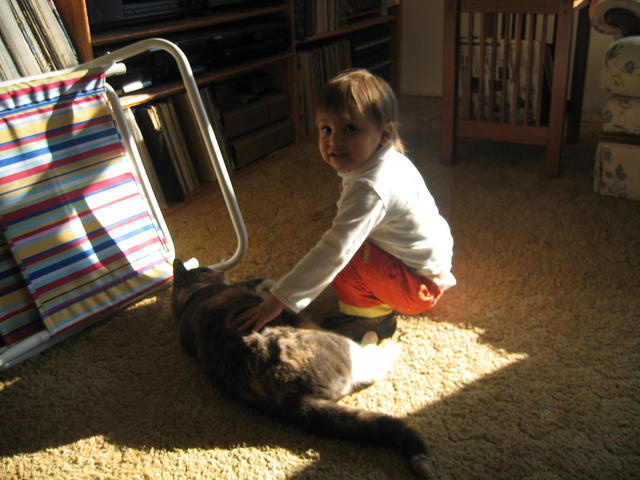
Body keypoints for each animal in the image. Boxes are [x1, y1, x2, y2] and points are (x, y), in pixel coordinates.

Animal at [171, 258, 435, 479]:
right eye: (206, 270)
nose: (219, 269)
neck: (188, 301)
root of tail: (291, 401)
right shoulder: (248, 287)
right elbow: (264, 282)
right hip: (336, 344)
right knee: (370, 366)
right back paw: (384, 341)